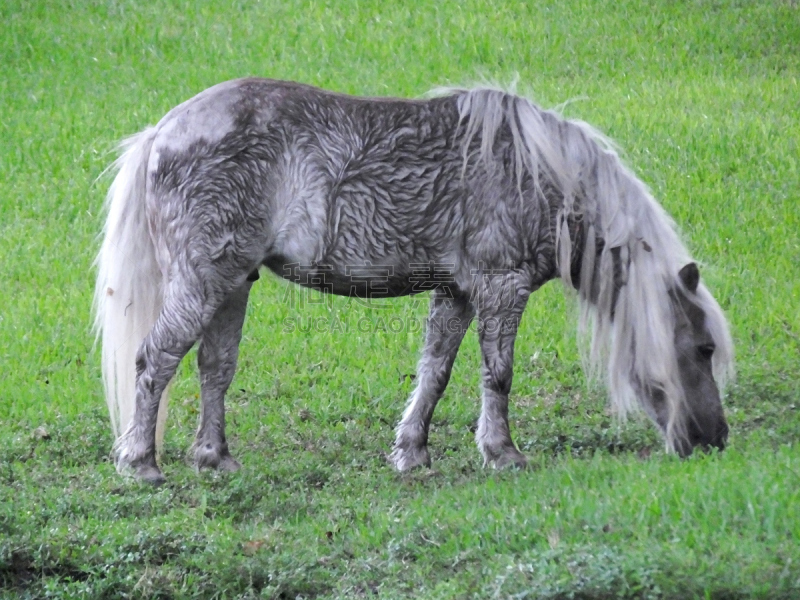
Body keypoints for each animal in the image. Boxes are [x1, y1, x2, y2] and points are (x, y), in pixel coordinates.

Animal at [92, 78, 732, 482]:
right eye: (703, 348)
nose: (716, 440)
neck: (540, 174)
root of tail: (163, 131)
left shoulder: (456, 294)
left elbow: (435, 373)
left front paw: (412, 452)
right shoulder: (501, 289)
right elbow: (498, 375)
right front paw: (502, 453)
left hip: (232, 284)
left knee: (214, 369)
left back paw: (214, 459)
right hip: (202, 284)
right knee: (154, 361)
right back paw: (142, 463)